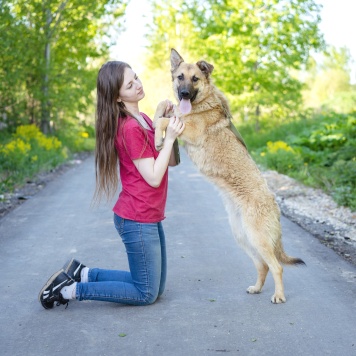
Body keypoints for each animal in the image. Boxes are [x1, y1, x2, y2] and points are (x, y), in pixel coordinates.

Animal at [154, 48, 304, 304]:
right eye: (180, 77)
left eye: (195, 79)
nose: (183, 94)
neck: (201, 104)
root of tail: (274, 205)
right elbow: (162, 112)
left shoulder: (188, 129)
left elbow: (164, 119)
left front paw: (155, 136)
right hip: (243, 237)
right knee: (263, 266)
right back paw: (256, 288)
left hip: (257, 238)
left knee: (276, 267)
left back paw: (279, 295)